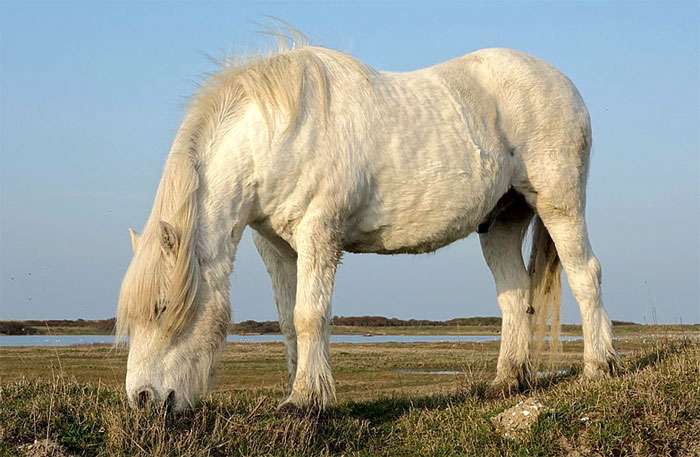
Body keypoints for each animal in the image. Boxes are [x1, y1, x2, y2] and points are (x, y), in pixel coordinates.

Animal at [117, 35, 616, 410]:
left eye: (162, 306)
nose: (142, 399)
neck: (278, 133)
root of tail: (560, 81)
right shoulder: (276, 246)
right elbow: (287, 320)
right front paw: (300, 390)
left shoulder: (318, 234)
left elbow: (309, 314)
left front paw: (305, 401)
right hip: (503, 220)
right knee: (515, 297)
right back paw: (508, 382)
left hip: (560, 206)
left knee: (585, 275)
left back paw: (599, 368)